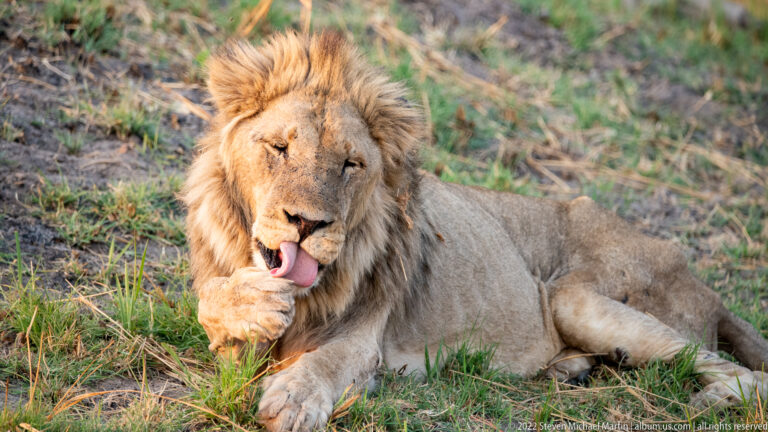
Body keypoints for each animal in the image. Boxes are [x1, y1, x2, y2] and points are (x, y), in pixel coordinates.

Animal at [183, 31, 768, 431]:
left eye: (350, 164)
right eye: (279, 147)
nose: (306, 223)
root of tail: (709, 290)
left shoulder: (366, 336)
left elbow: (325, 361)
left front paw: (293, 399)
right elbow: (208, 303)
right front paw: (251, 304)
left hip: (572, 296)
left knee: (735, 370)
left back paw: (712, 399)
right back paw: (569, 370)